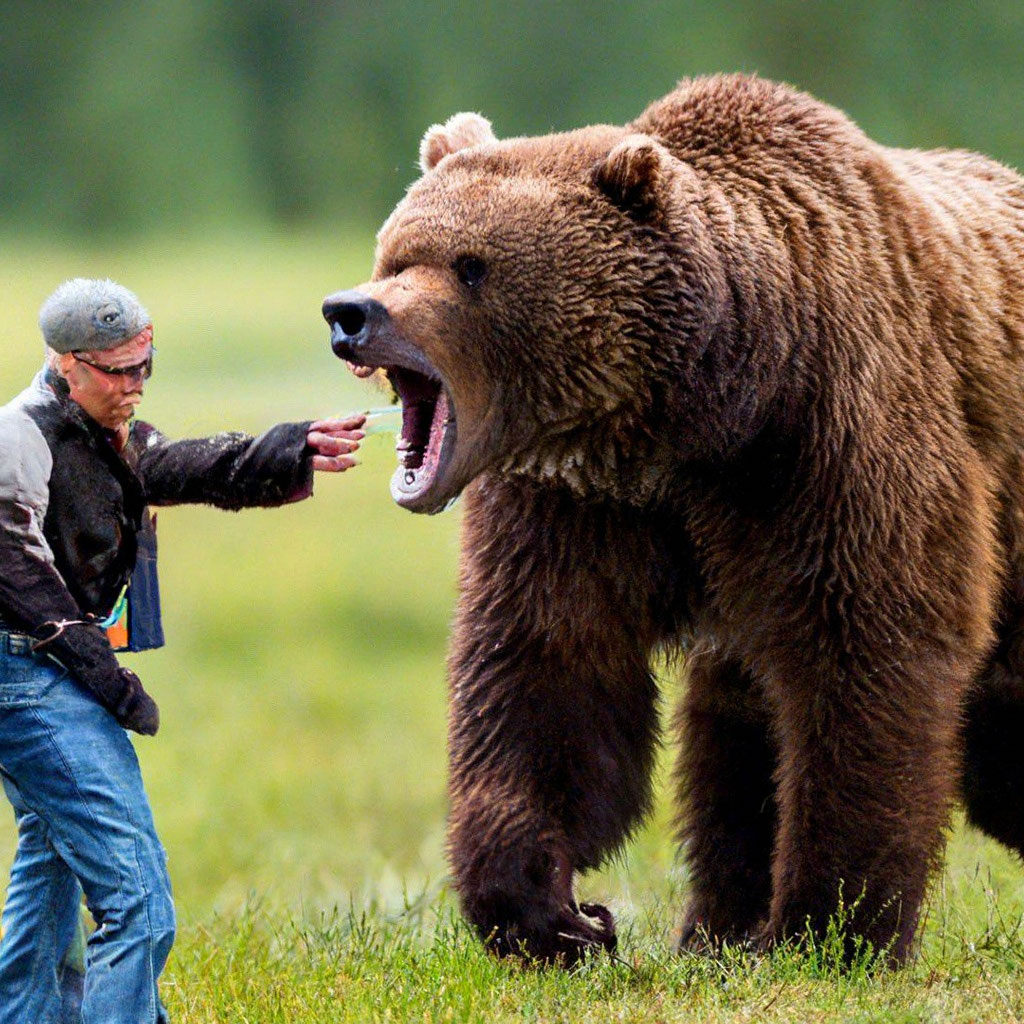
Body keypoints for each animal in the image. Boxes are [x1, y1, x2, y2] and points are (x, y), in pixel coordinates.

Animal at [323, 75, 1024, 962]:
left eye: (471, 266)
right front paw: (548, 912)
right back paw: (714, 930)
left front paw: (826, 927)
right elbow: (547, 670)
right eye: (395, 253)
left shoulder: (832, 443)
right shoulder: (578, 503)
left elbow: (868, 652)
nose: (352, 312)